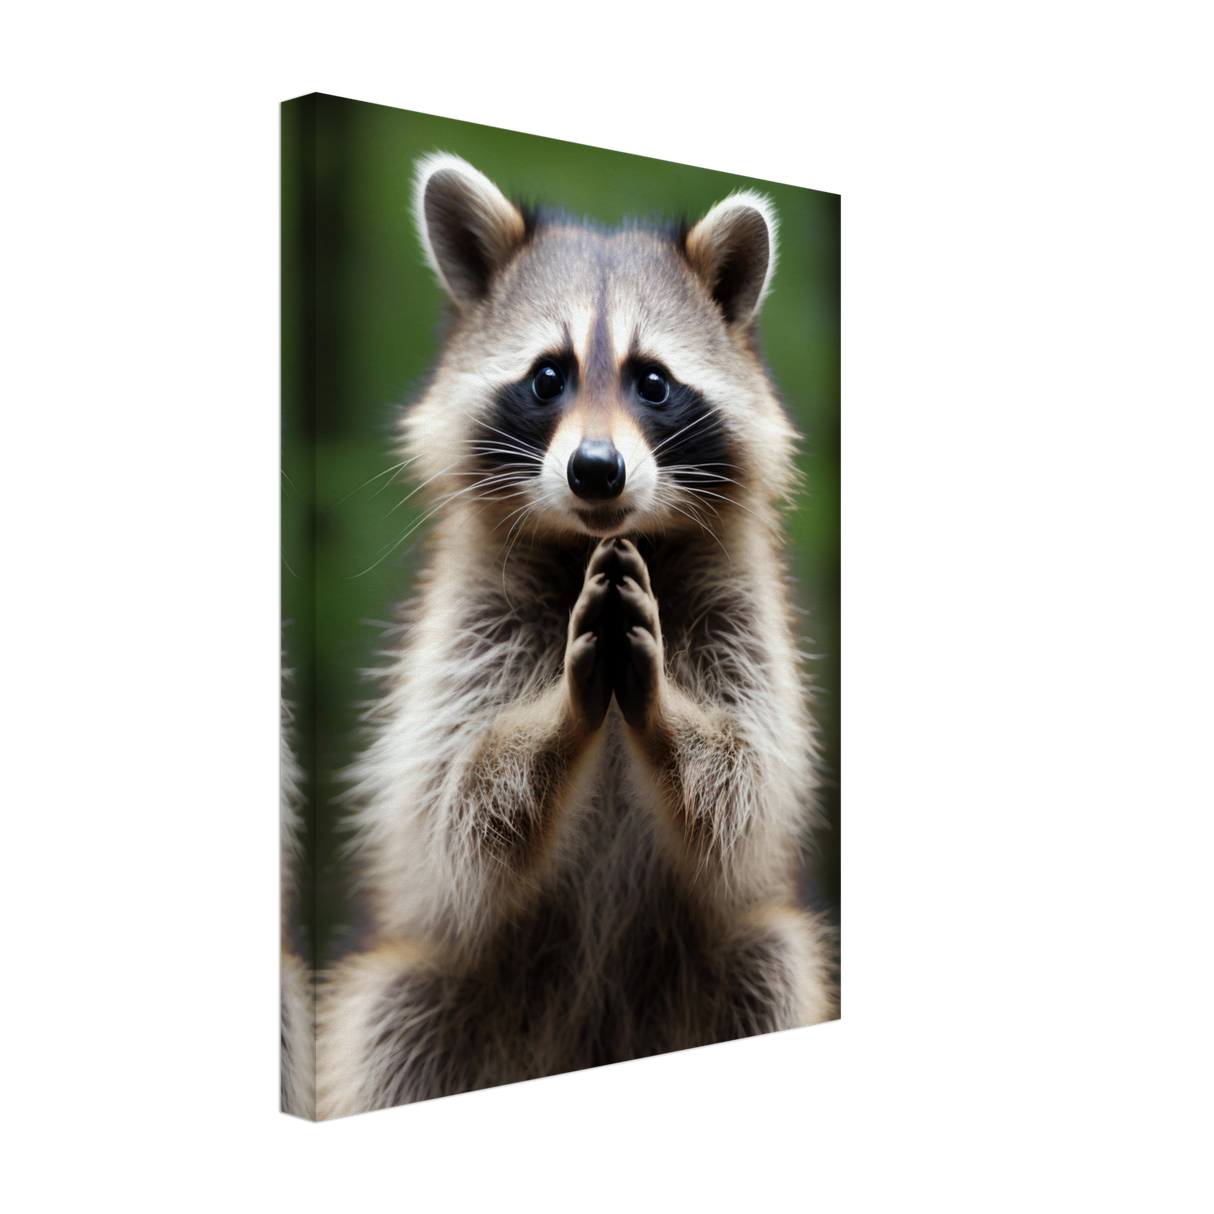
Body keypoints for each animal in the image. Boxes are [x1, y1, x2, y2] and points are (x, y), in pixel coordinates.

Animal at [318, 153, 837, 1117]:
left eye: (653, 381)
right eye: (548, 377)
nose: (597, 469)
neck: (595, 542)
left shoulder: (744, 610)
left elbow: (743, 783)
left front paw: (667, 714)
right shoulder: (466, 620)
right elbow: (455, 803)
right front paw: (558, 715)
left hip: (738, 965)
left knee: (771, 960)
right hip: (430, 990)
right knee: (392, 1018)